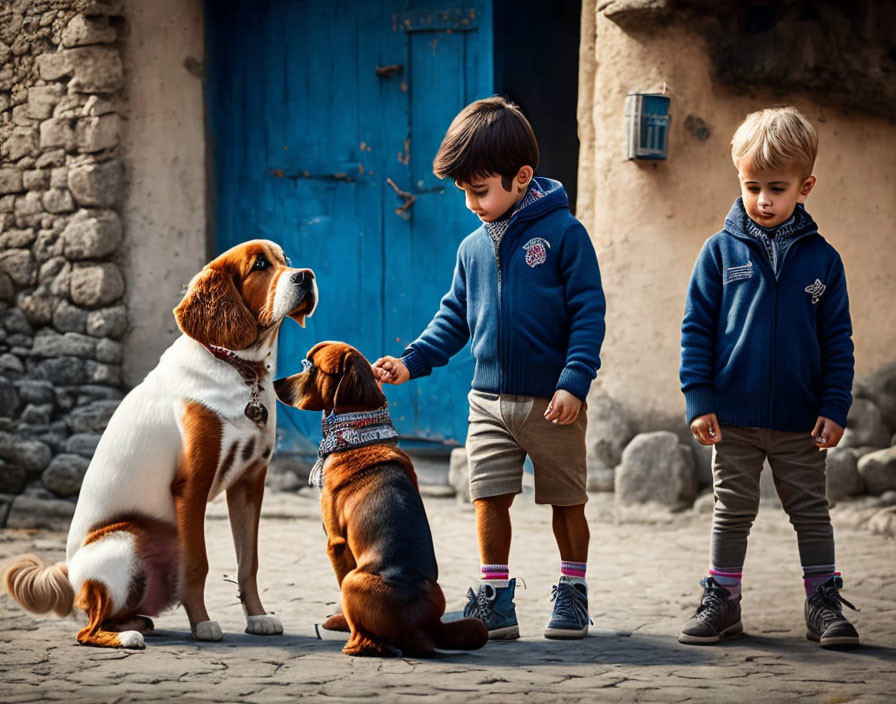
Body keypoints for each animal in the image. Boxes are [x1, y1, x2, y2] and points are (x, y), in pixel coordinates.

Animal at [2, 239, 318, 648]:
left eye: (287, 260)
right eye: (260, 265)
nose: (307, 276)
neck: (239, 369)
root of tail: (71, 578)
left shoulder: (250, 483)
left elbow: (248, 563)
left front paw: (258, 617)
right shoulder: (192, 486)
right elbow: (198, 563)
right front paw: (203, 624)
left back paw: (136, 623)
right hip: (128, 538)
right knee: (87, 629)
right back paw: (126, 638)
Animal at [272, 344, 486, 656]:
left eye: (310, 367)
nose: (274, 382)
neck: (359, 429)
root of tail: (423, 630)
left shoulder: (336, 544)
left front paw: (340, 620)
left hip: (355, 579)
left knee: (368, 638)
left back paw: (353, 640)